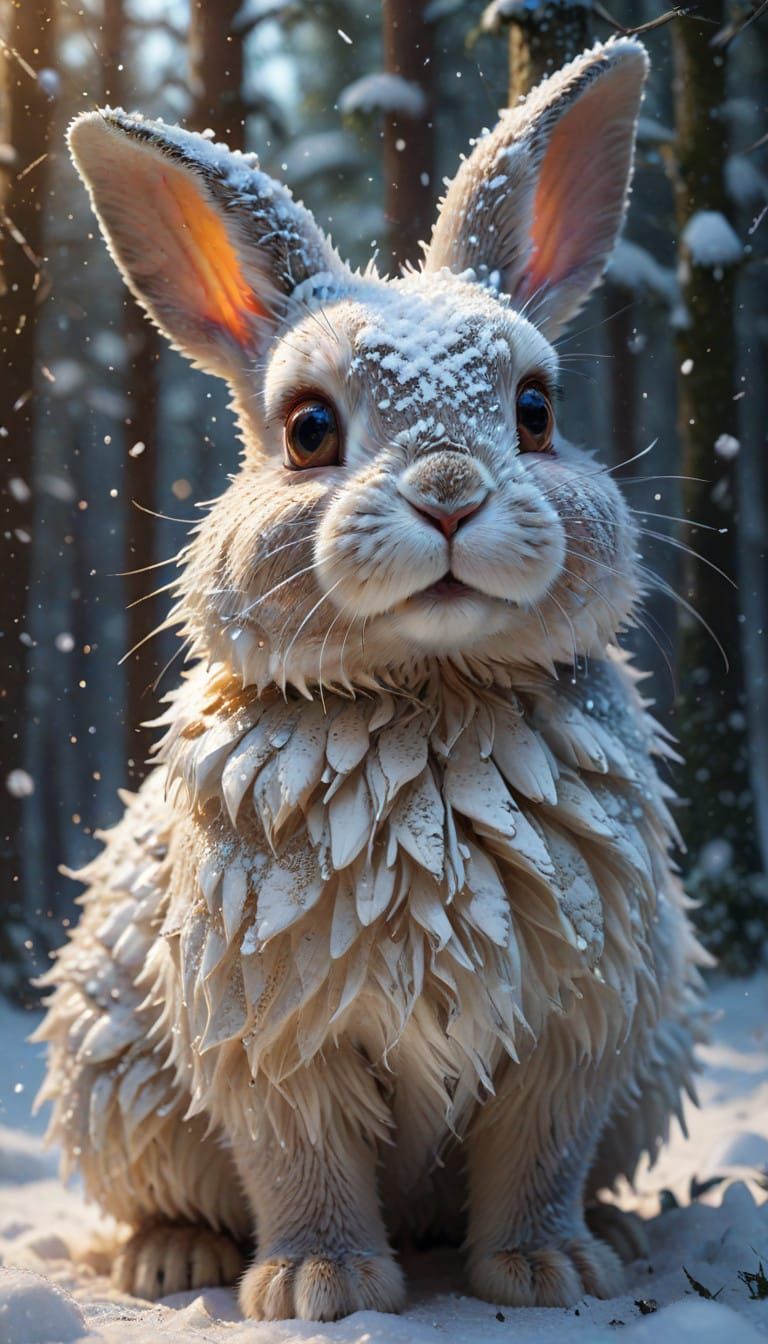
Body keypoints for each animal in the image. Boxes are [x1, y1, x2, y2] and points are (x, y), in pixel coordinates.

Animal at [36, 37, 709, 1323]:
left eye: (535, 412)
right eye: (307, 430)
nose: (450, 492)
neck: (427, 695)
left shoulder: (579, 1028)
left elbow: (541, 1154)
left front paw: (549, 1273)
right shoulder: (268, 1034)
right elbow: (300, 1160)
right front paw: (322, 1288)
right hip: (119, 1084)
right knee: (171, 1190)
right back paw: (175, 1259)